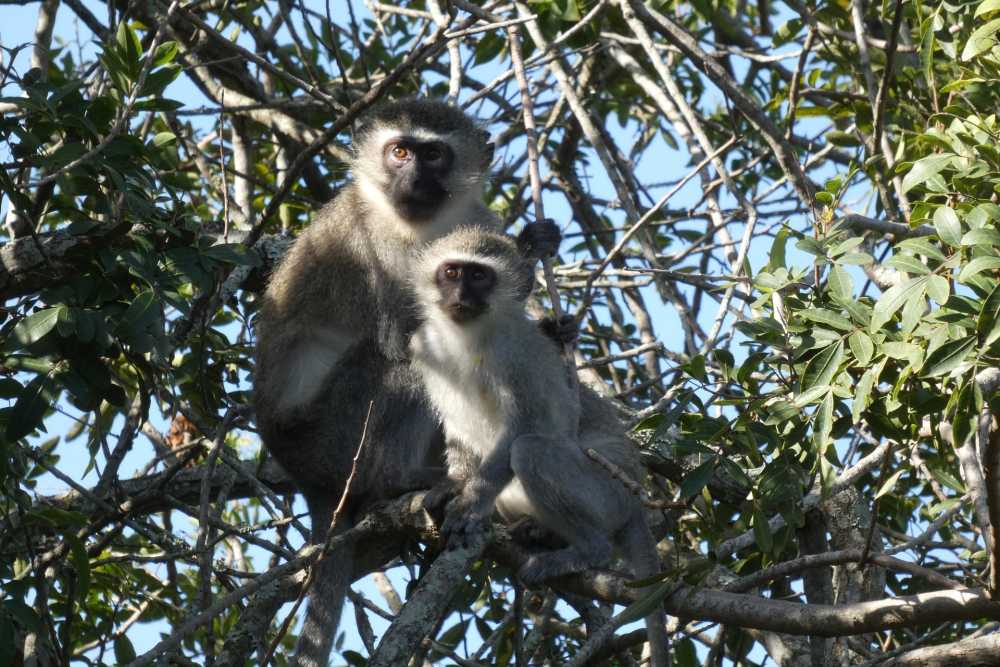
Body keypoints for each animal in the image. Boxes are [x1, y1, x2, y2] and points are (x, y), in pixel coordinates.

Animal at [254, 100, 560, 667]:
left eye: (434, 154)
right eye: (399, 151)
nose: (413, 177)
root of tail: (308, 479)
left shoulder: (477, 221)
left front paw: (538, 259)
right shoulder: (370, 248)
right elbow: (404, 339)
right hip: (335, 434)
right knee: (413, 362)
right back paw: (407, 481)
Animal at [410, 228, 668, 664]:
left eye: (479, 276)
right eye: (452, 272)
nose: (461, 295)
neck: (466, 337)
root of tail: (636, 505)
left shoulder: (518, 354)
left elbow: (526, 426)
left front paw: (470, 503)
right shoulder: (425, 346)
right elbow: (457, 428)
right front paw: (453, 484)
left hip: (606, 493)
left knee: (531, 450)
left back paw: (585, 550)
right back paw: (539, 533)